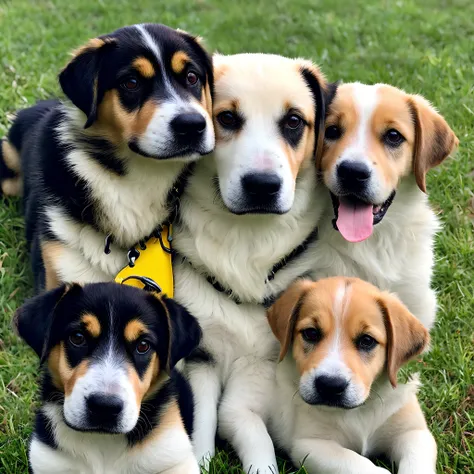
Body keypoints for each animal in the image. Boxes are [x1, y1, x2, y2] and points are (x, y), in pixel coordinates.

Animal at [266, 278, 436, 474]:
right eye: (311, 333)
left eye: (367, 340)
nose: (330, 386)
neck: (360, 411)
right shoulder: (310, 445)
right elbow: (358, 463)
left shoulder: (413, 433)